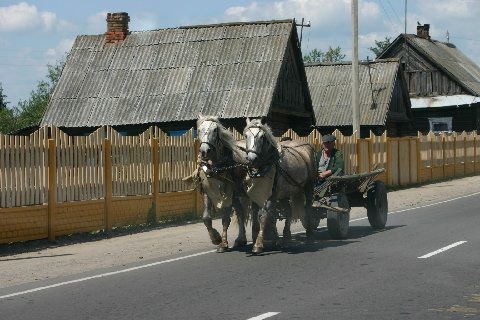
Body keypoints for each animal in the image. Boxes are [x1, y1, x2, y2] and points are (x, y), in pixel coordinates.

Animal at [188, 115, 249, 252]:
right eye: (199, 130)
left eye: (215, 130)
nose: (205, 151)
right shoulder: (207, 192)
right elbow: (206, 218)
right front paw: (216, 238)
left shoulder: (228, 193)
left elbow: (225, 219)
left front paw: (223, 244)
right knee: (240, 212)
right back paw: (241, 239)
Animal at [244, 117, 318, 252]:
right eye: (246, 135)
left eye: (262, 137)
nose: (252, 159)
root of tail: (307, 145)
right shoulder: (256, 194)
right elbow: (260, 215)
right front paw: (272, 240)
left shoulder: (272, 195)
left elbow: (264, 216)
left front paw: (258, 244)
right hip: (285, 192)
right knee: (288, 211)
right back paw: (286, 237)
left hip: (308, 185)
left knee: (308, 207)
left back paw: (310, 234)